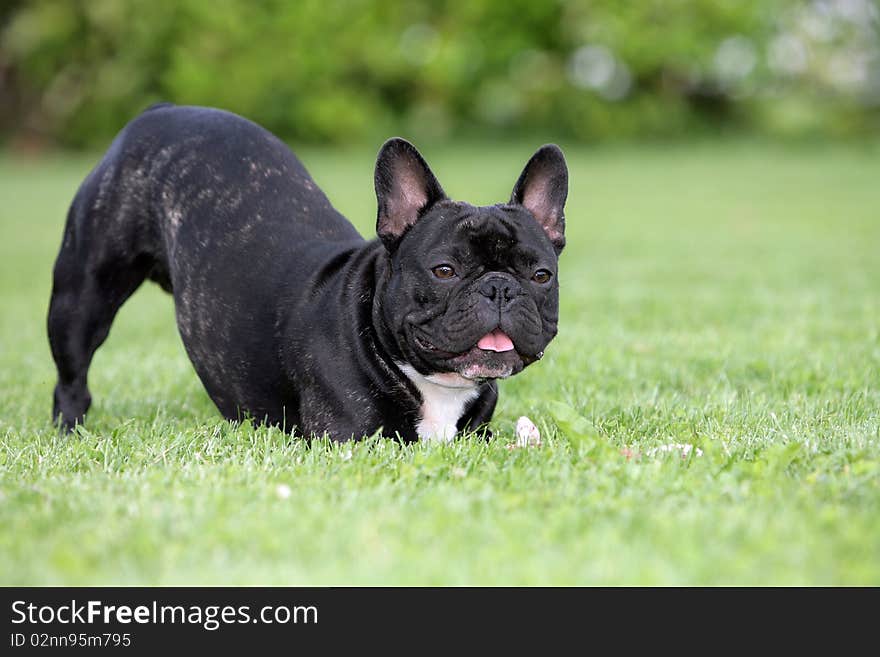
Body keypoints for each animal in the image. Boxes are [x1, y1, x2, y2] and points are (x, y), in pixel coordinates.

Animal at [48, 102, 572, 440]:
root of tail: (161, 111)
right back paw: (69, 431)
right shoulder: (350, 439)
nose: (500, 288)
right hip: (82, 296)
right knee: (72, 375)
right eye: (445, 270)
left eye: (541, 276)